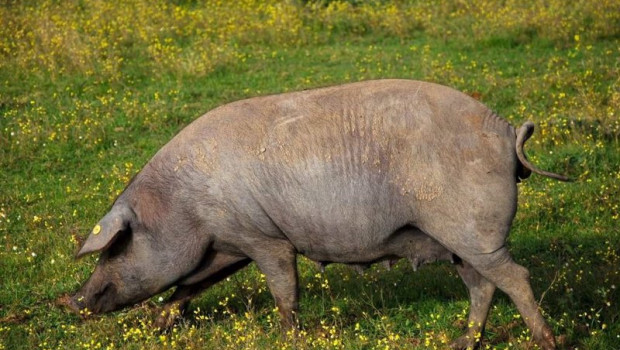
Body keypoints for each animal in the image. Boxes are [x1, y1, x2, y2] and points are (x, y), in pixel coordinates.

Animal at [66, 80, 568, 350]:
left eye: (116, 247)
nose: (66, 301)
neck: (184, 205)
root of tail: (505, 130)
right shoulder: (228, 242)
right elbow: (192, 283)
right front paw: (160, 323)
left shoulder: (264, 238)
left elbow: (283, 288)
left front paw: (290, 336)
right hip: (459, 240)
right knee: (483, 286)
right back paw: (461, 342)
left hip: (475, 231)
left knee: (515, 277)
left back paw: (547, 341)